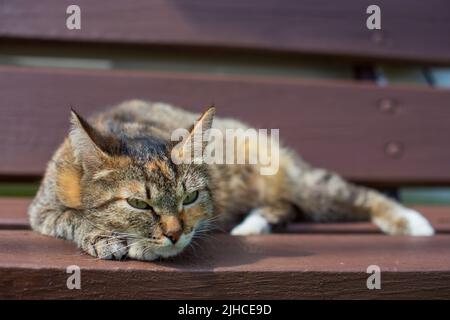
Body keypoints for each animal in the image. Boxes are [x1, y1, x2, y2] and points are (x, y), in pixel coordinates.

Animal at [27, 101, 432, 262]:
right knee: (287, 206)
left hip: (305, 182)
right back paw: (255, 222)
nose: (175, 233)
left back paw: (410, 221)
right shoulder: (41, 210)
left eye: (190, 198)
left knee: (356, 194)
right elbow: (70, 217)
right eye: (139, 203)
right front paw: (103, 235)